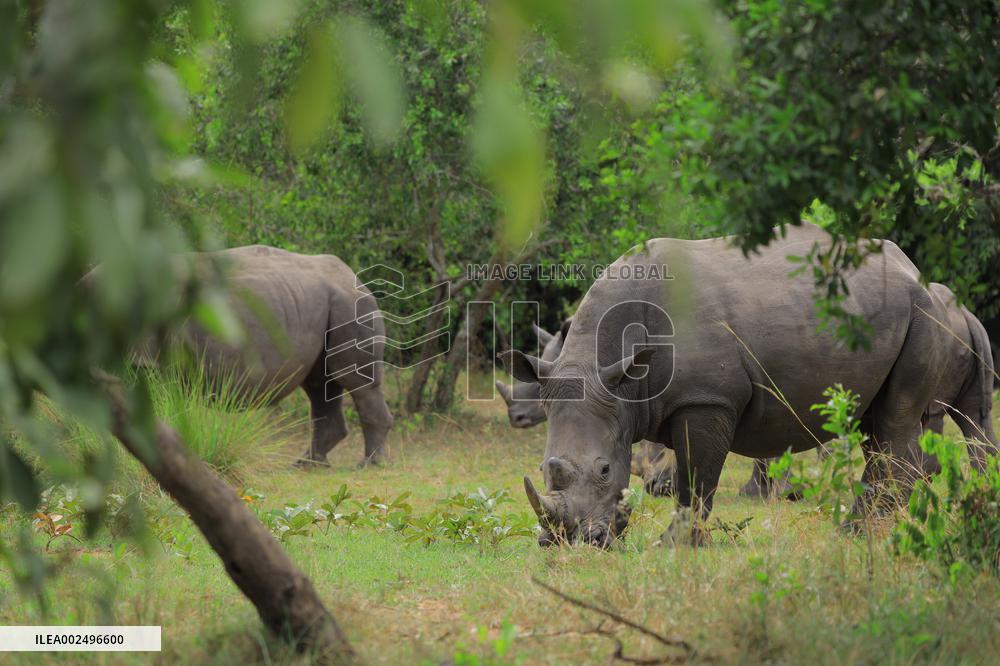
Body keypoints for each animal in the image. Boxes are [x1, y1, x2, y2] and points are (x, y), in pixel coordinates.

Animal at [91, 245, 394, 467]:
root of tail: (357, 279)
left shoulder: (143, 359)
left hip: (351, 305)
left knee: (354, 382)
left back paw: (369, 464)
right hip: (321, 303)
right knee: (319, 384)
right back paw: (309, 464)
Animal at [502, 224, 997, 547]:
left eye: (605, 470)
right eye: (545, 468)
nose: (569, 542)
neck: (617, 372)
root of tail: (910, 267)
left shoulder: (707, 400)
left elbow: (696, 480)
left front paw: (676, 545)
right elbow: (688, 476)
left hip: (922, 311)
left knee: (897, 417)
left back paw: (857, 533)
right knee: (880, 422)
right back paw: (868, 527)